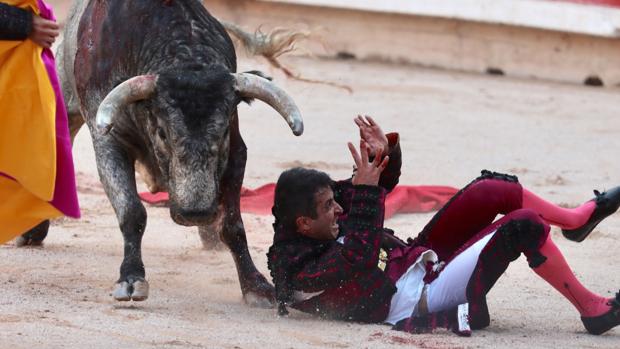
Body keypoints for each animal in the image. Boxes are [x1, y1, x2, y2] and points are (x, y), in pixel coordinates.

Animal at [57, 0, 304, 304]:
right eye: (163, 133)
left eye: (222, 132)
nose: (195, 213)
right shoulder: (108, 140)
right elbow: (131, 211)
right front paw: (131, 279)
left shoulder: (236, 150)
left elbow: (232, 224)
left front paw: (255, 286)